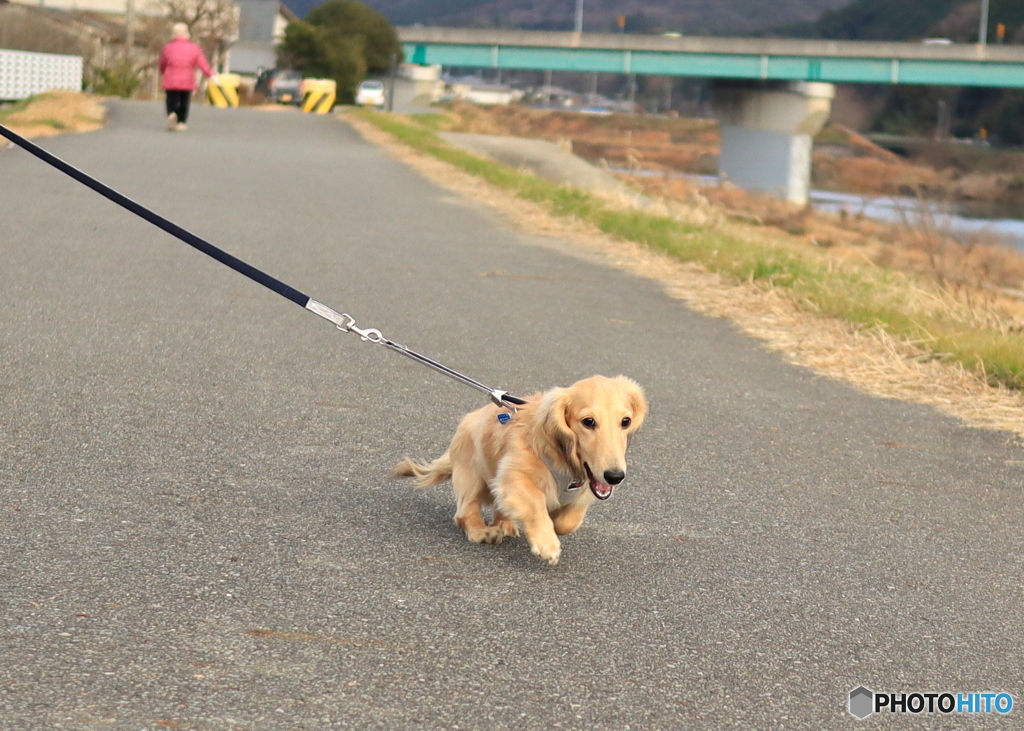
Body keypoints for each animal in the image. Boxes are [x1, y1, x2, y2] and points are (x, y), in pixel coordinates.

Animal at [393, 376, 647, 565]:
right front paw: (546, 543)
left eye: (625, 421)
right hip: (472, 475)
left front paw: (554, 524)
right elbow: (535, 504)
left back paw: (504, 524)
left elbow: (568, 521)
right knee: (465, 513)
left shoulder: (584, 488)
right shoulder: (513, 475)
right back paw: (483, 531)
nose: (615, 476)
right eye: (588, 421)